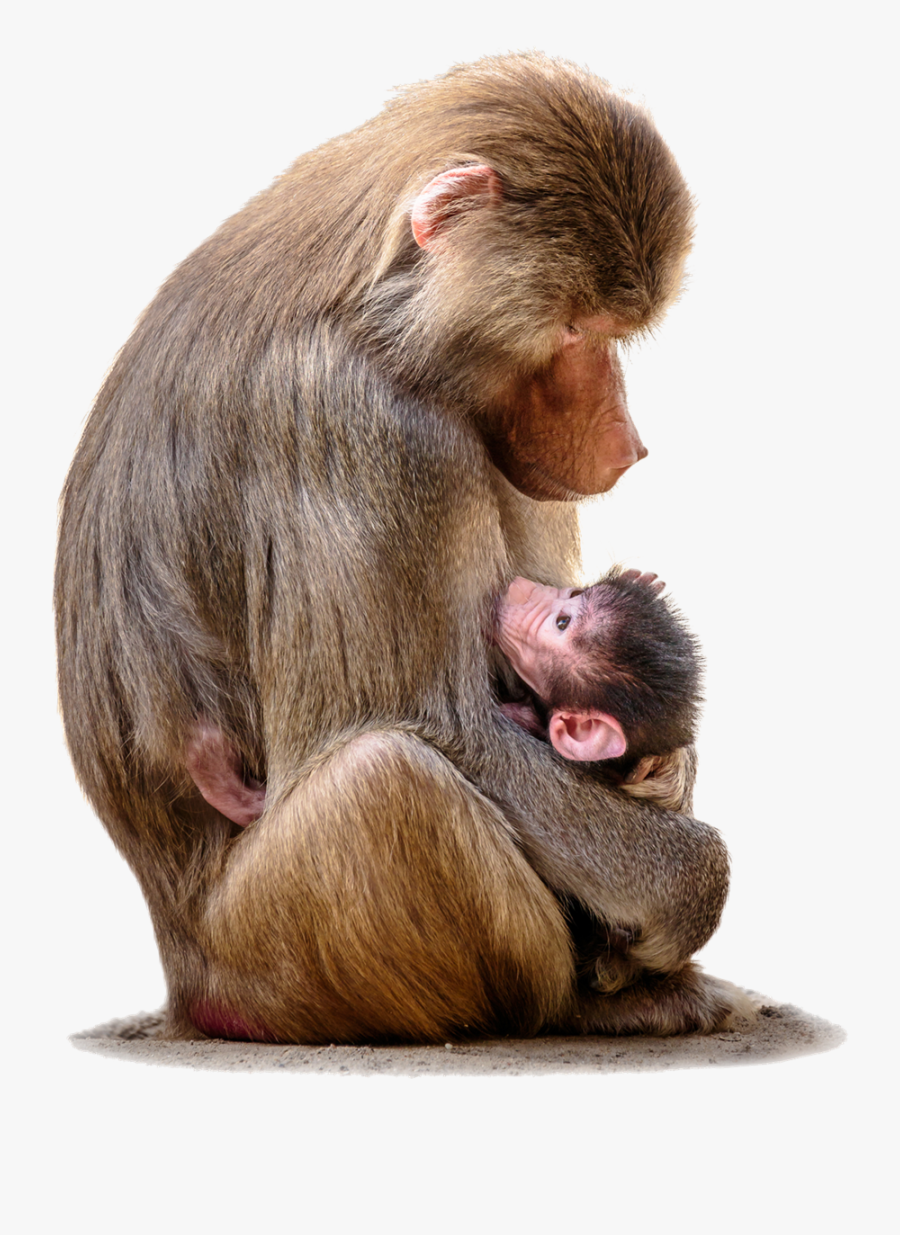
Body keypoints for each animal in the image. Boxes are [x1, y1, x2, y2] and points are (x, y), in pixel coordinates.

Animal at [56, 53, 750, 1044]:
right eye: (577, 328)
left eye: (613, 331)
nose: (628, 444)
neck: (376, 307)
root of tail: (186, 982)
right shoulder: (364, 426)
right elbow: (436, 721)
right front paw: (685, 885)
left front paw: (668, 769)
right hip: (270, 957)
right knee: (387, 779)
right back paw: (578, 1003)